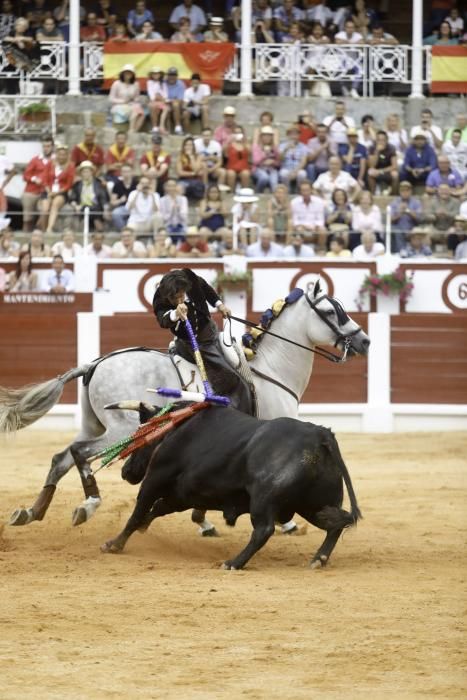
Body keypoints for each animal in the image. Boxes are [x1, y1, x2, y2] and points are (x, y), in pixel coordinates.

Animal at [0, 278, 370, 532]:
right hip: (121, 429)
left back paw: (31, 512)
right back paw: (88, 504)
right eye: (330, 311)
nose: (364, 340)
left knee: (61, 457)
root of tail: (94, 364)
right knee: (81, 454)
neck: (272, 369)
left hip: (92, 423)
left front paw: (203, 519)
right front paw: (286, 523)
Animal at [102, 404, 362, 568]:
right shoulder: (181, 495)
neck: (176, 429)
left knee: (264, 530)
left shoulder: (154, 480)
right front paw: (141, 529)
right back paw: (318, 559)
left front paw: (114, 544)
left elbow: (137, 512)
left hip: (264, 499)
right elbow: (156, 509)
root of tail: (320, 435)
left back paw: (233, 563)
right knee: (336, 524)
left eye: (140, 435)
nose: (126, 471)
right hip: (315, 505)